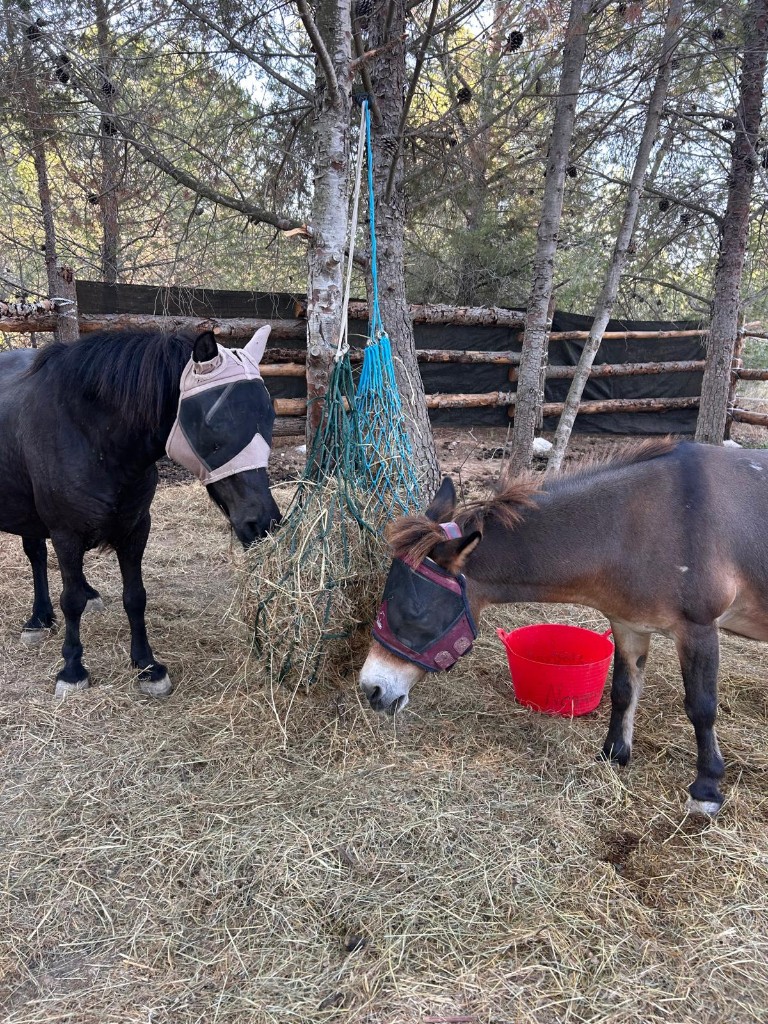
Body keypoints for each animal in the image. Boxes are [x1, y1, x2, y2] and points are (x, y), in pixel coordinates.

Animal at [0, 327, 281, 697]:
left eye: (269, 417)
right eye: (212, 426)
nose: (262, 521)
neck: (90, 434)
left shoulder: (136, 528)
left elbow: (135, 597)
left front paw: (147, 665)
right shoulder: (66, 534)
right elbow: (71, 600)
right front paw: (73, 670)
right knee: (37, 555)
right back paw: (39, 618)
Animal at [359, 439, 768, 816]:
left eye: (417, 611)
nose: (371, 689)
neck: (640, 523)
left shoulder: (698, 630)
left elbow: (702, 707)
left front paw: (707, 789)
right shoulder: (628, 626)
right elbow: (623, 691)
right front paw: (614, 754)